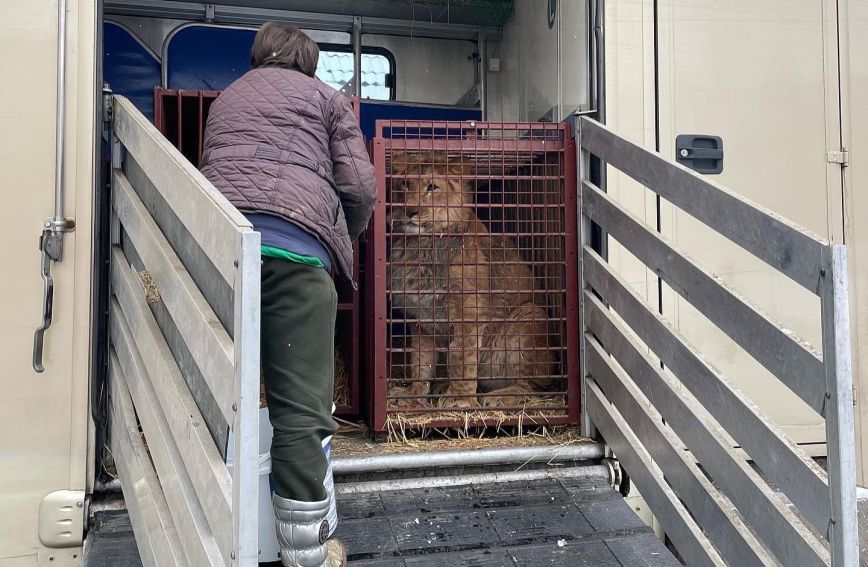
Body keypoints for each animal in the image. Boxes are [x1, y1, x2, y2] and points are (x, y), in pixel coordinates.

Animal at [388, 151, 556, 408]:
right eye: (405, 184)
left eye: (432, 187)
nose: (410, 210)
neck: (420, 246)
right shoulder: (422, 319)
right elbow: (421, 361)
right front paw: (414, 393)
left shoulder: (468, 313)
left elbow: (460, 357)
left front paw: (461, 400)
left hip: (528, 315)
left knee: (532, 387)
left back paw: (498, 397)